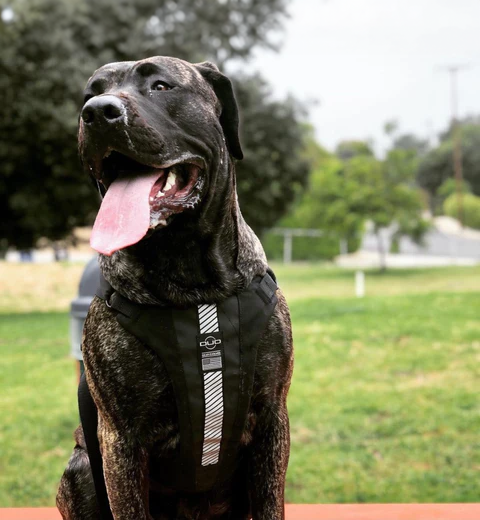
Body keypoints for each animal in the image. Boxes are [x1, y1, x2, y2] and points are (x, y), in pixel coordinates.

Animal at [56, 57, 292, 520]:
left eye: (161, 86)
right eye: (91, 93)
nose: (97, 112)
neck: (195, 289)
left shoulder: (273, 419)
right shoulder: (121, 442)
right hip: (80, 470)